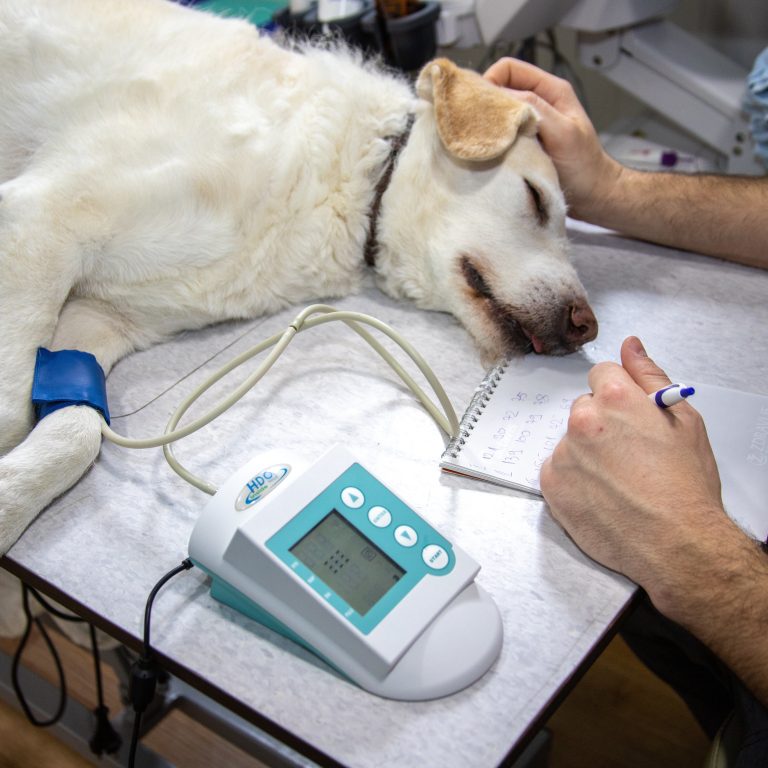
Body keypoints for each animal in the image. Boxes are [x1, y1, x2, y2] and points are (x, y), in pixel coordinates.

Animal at [0, 0, 596, 564]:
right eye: (536, 199)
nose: (587, 326)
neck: (350, 177)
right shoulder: (39, 220)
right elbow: (13, 406)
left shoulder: (98, 319)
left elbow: (75, 429)